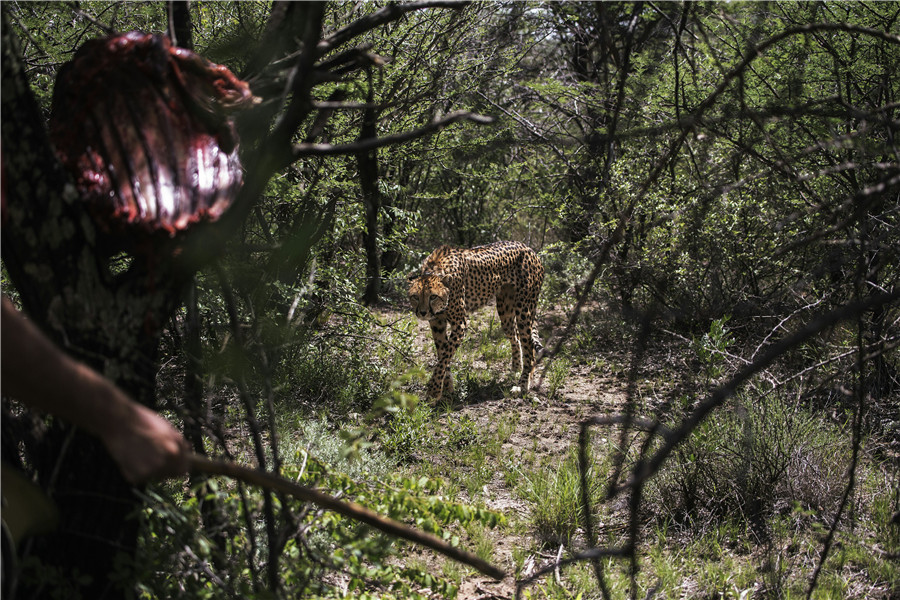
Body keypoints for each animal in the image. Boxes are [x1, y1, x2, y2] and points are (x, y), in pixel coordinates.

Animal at [410, 241, 548, 400]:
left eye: (432, 296)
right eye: (415, 297)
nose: (423, 312)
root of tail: (526, 247)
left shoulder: (460, 324)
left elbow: (445, 356)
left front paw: (433, 390)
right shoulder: (437, 323)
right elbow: (443, 355)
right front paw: (447, 389)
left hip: (524, 309)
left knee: (529, 345)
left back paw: (523, 384)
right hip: (505, 311)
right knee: (517, 337)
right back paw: (516, 369)